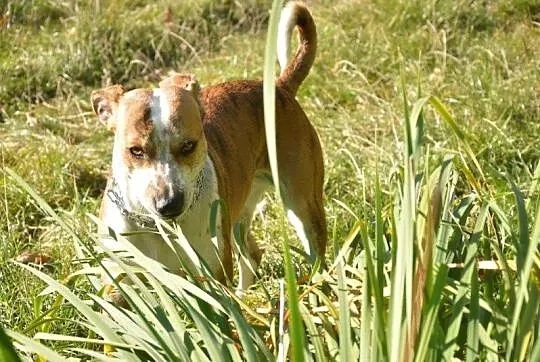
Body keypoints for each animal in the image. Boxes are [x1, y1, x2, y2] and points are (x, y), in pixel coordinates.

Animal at [91, 1, 326, 292]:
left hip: (303, 205)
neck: (158, 226)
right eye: (136, 150)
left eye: (189, 146)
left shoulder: (211, 274)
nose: (169, 204)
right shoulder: (117, 283)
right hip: (237, 215)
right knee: (251, 253)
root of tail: (279, 87)